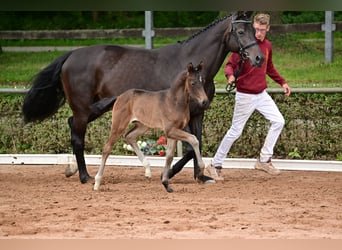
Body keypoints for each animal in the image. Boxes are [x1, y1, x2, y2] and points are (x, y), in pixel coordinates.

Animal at [94, 62, 208, 191]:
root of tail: (119, 97)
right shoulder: (170, 130)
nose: (205, 101)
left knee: (129, 136)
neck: (174, 102)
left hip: (143, 125)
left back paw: (147, 169)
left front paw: (166, 183)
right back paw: (97, 182)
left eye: (203, 81)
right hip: (118, 125)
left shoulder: (173, 132)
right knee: (107, 147)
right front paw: (200, 174)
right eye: (193, 83)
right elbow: (194, 139)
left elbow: (169, 156)